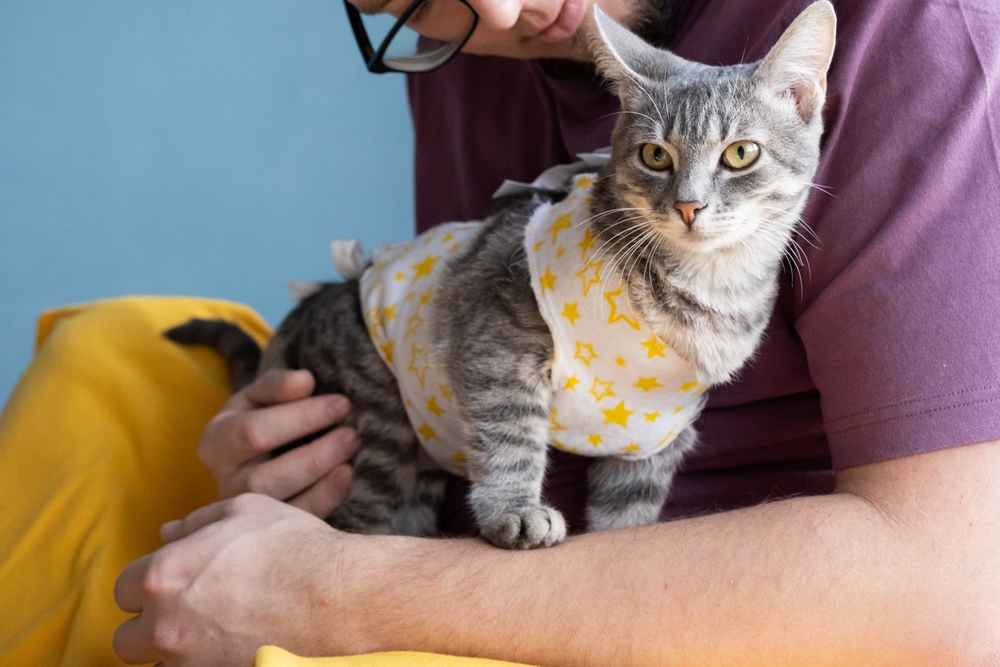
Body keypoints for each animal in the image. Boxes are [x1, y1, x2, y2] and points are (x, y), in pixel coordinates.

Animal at [166, 2, 836, 552]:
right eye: (655, 156)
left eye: (741, 154)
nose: (689, 205)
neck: (707, 293)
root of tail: (310, 309)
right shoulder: (497, 336)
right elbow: (509, 437)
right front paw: (513, 513)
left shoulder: (655, 435)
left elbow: (627, 518)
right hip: (374, 436)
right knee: (358, 525)